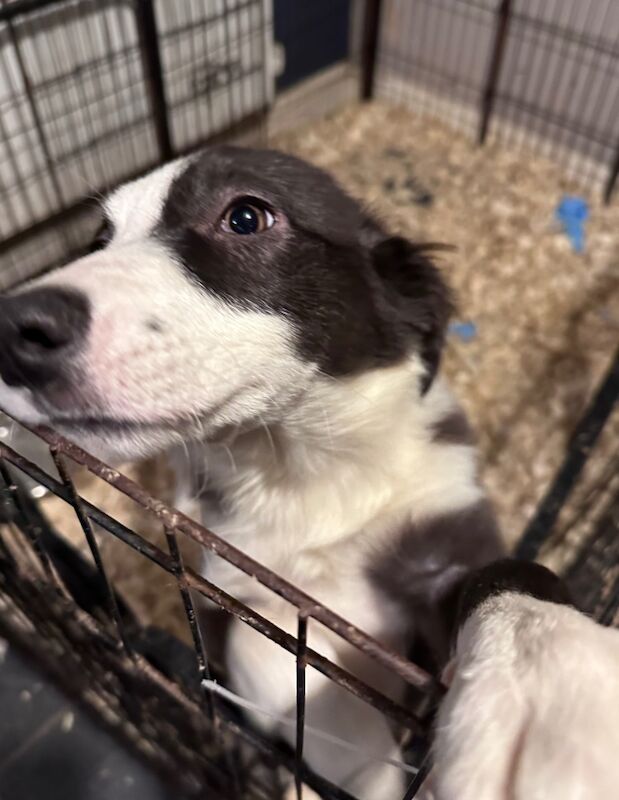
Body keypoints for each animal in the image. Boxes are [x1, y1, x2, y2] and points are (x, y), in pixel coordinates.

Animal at [1, 147, 619, 796]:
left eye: (246, 216)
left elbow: (510, 576)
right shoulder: (229, 598)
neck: (304, 466)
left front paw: (552, 698)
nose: (15, 331)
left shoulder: (445, 543)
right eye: (101, 239)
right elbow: (287, 664)